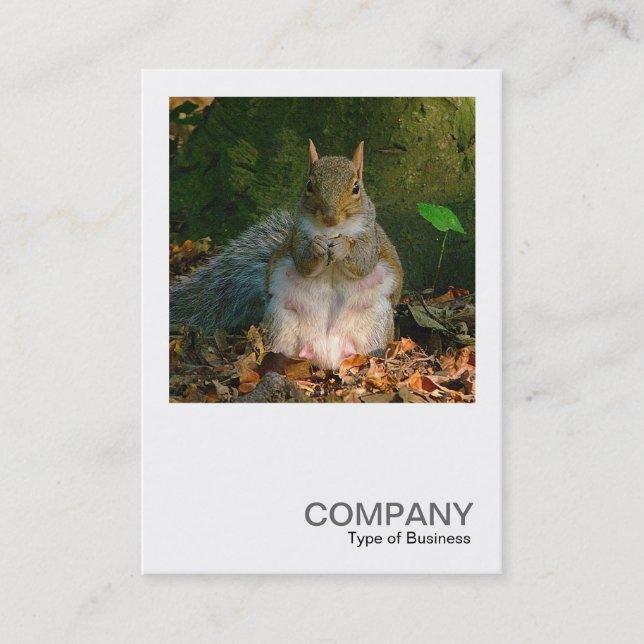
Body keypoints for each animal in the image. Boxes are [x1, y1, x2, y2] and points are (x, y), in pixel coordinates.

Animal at [170, 140, 403, 370]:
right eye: (309, 186)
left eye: (356, 187)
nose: (330, 217)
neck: (331, 230)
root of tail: (326, 355)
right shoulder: (298, 235)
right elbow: (303, 262)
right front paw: (316, 246)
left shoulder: (371, 238)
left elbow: (364, 262)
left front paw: (343, 246)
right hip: (281, 320)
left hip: (375, 321)